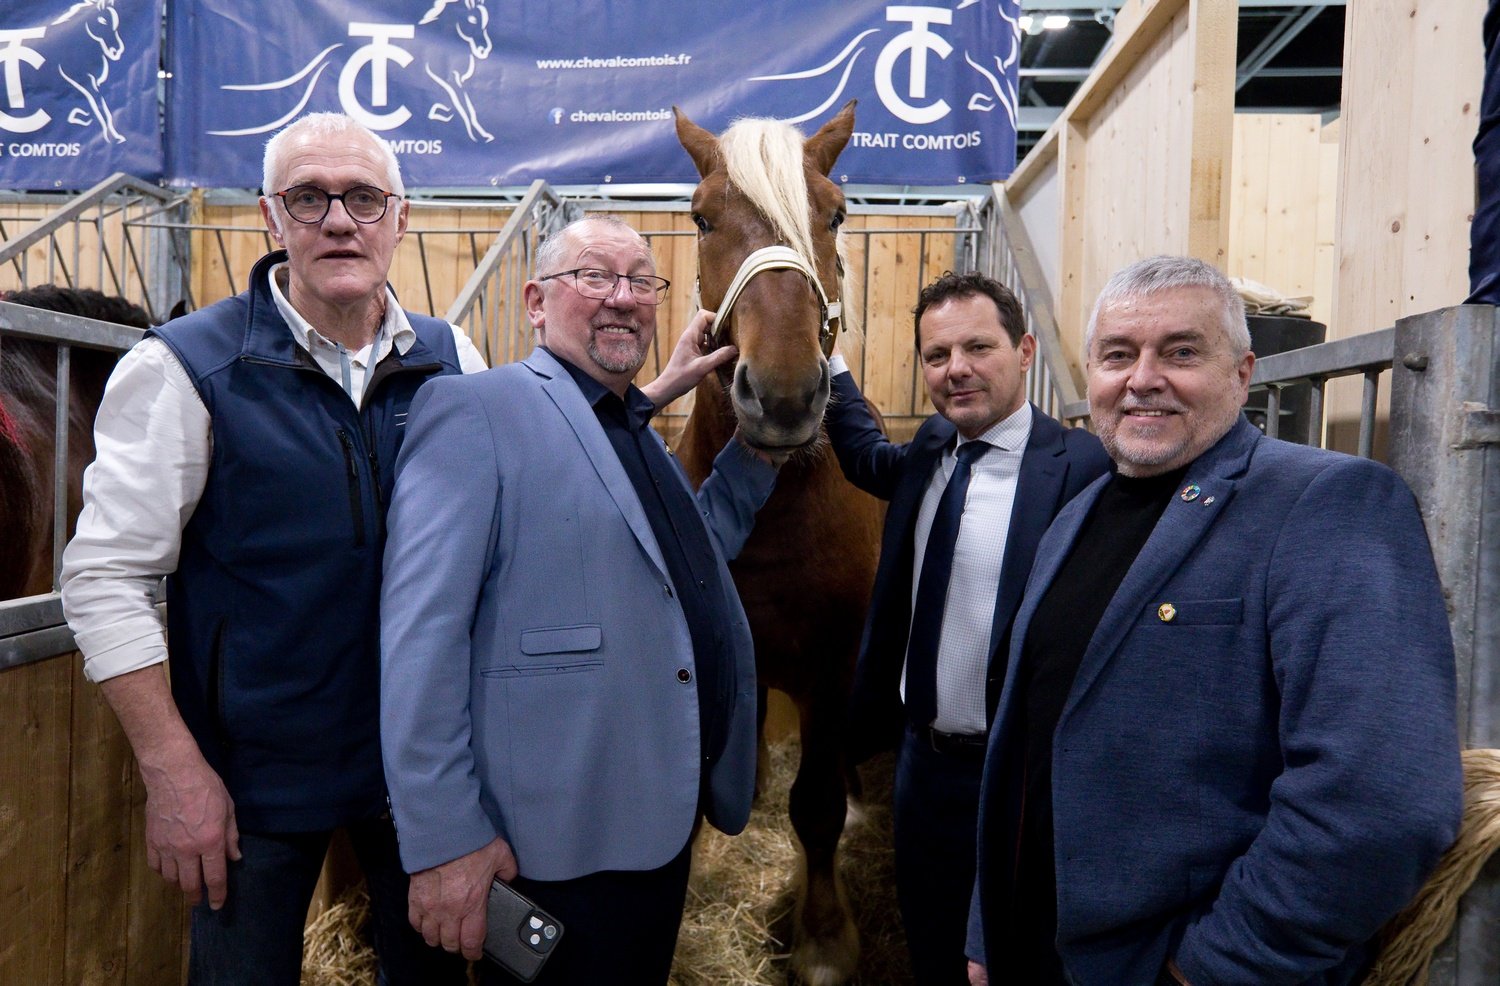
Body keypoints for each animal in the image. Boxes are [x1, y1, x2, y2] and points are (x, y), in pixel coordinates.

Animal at [49, 0, 126, 144]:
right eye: (102, 20)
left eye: (116, 21)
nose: (116, 51)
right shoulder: (85, 82)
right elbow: (100, 108)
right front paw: (113, 137)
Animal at [419, 0, 495, 144]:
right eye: (472, 19)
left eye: (485, 22)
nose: (484, 50)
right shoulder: (453, 80)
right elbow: (466, 110)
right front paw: (479, 136)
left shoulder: (459, 82)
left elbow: (467, 108)